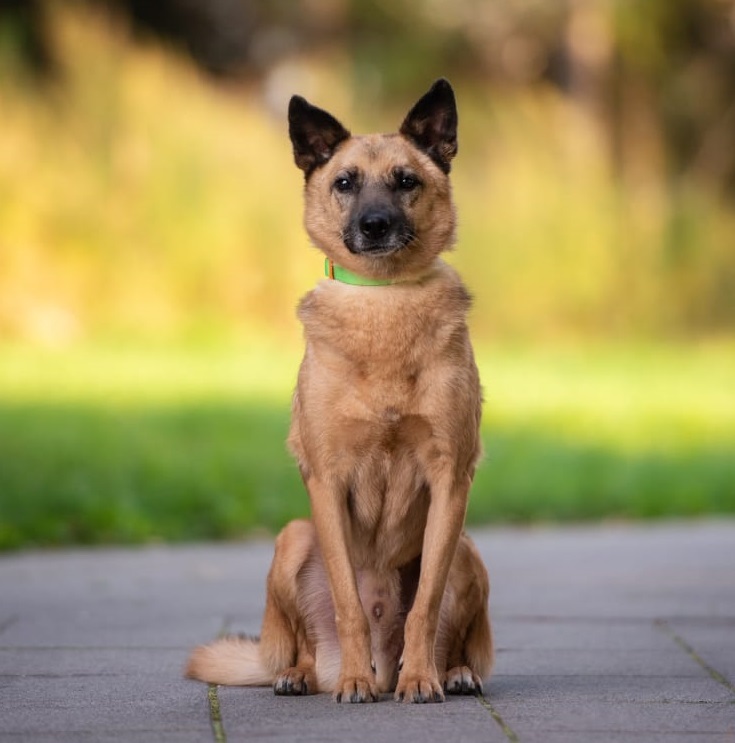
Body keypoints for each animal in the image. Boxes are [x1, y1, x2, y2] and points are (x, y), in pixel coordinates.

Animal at [184, 80, 494, 704]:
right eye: (345, 183)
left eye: (406, 180)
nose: (374, 225)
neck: (383, 299)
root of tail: (382, 659)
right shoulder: (326, 481)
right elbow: (349, 602)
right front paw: (353, 683)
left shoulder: (451, 478)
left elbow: (425, 605)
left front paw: (421, 679)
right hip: (292, 538)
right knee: (305, 643)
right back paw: (310, 675)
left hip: (467, 548)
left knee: (451, 632)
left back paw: (447, 672)